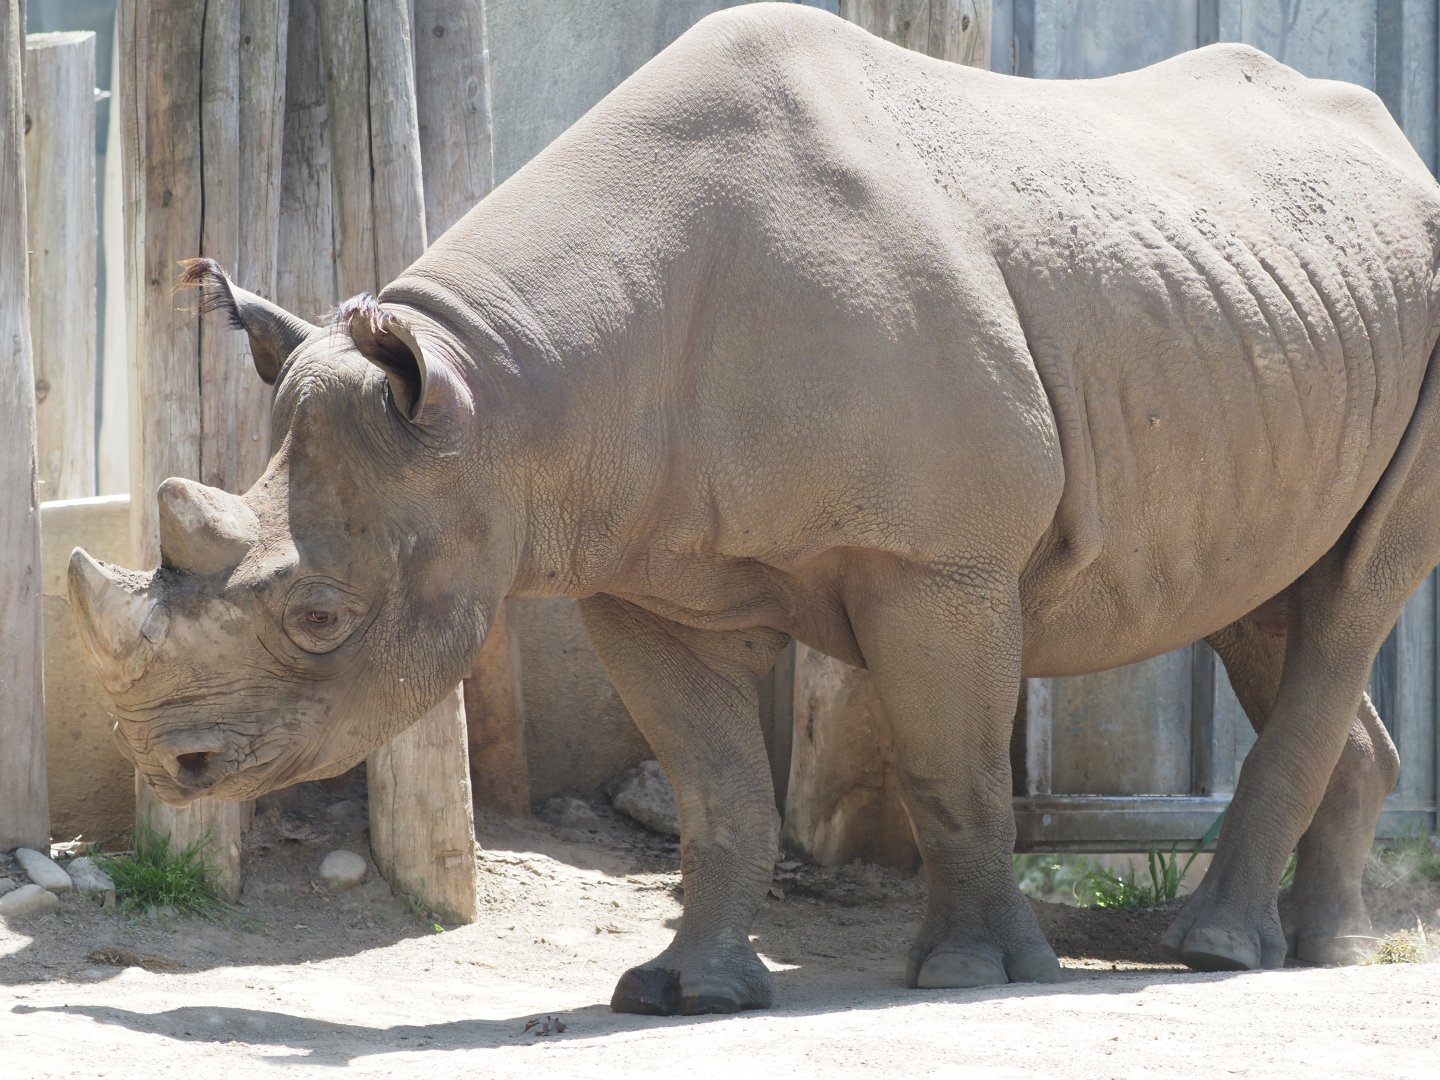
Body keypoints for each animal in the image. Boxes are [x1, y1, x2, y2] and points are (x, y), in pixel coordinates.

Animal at [71, 4, 1439, 1014]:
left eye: (319, 617)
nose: (167, 764)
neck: (505, 398)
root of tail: (1402, 151)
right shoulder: (639, 575)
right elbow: (718, 785)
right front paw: (682, 991)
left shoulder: (934, 556)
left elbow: (949, 762)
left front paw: (973, 975)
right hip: (1255, 320)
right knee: (1264, 589)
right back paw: (1321, 945)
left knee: (1351, 595)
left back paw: (1220, 951)